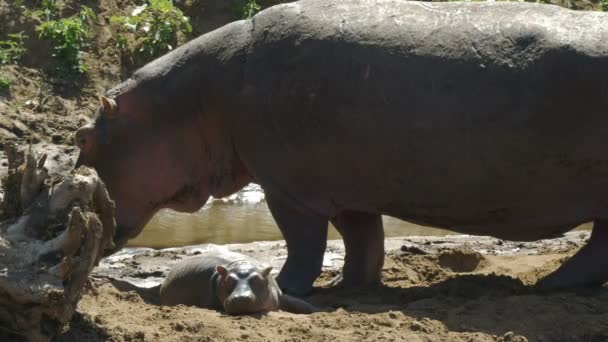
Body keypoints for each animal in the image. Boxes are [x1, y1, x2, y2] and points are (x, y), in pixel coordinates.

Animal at [75, 0, 608, 294]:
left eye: (83, 137)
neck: (195, 100)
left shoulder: (286, 188)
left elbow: (304, 243)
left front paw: (286, 287)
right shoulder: (350, 189)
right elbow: (362, 241)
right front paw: (349, 286)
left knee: (596, 249)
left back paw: (548, 285)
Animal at [159, 251, 316, 316]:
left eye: (257, 279)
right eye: (228, 280)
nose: (241, 298)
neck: (242, 265)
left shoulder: (280, 295)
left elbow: (300, 304)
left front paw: (315, 310)